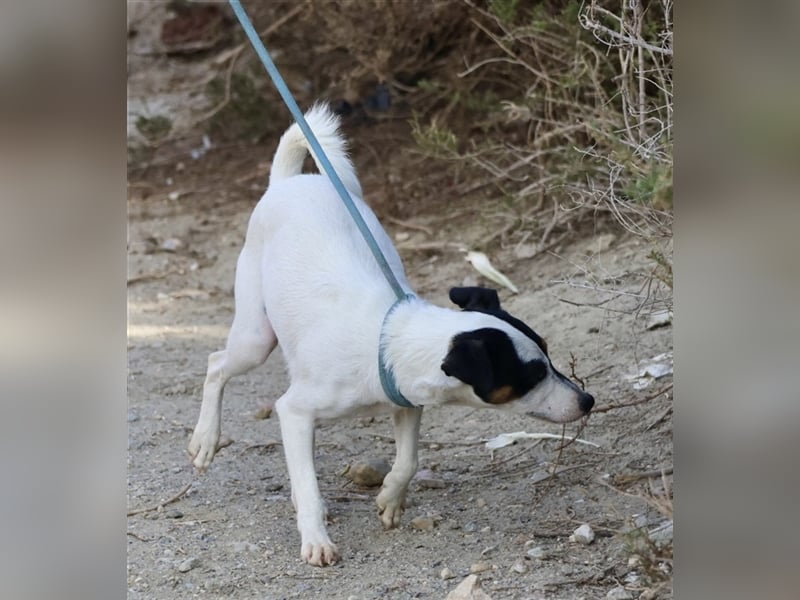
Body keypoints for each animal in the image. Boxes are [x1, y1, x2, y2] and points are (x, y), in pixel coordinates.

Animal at [184, 104, 592, 568]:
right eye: (532, 376)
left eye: (550, 357)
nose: (588, 401)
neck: (391, 336)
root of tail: (288, 182)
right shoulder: (295, 411)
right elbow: (308, 483)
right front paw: (316, 538)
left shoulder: (407, 403)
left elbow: (408, 461)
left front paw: (390, 499)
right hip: (255, 337)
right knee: (216, 365)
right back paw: (205, 439)